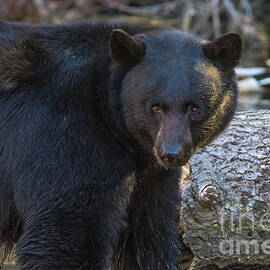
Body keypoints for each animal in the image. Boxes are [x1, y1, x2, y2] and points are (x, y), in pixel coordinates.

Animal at [0, 20, 242, 270]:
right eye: (155, 106)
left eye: (194, 107)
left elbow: (150, 234)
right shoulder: (65, 133)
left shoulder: (151, 180)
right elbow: (66, 230)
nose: (171, 153)